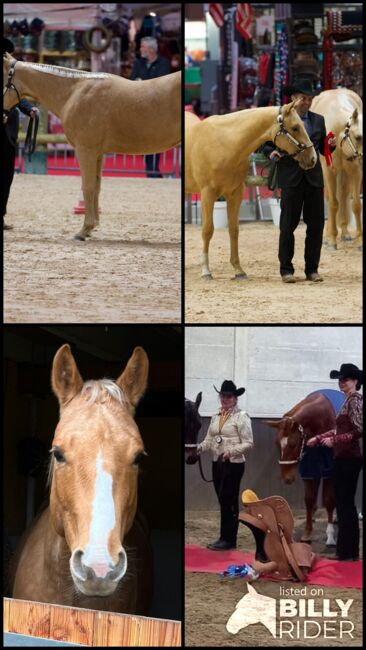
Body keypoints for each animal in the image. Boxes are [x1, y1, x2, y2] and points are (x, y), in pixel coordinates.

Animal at [2, 52, 180, 240]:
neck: (74, 92)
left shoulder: (85, 150)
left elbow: (87, 187)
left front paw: (83, 230)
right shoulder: (98, 153)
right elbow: (96, 187)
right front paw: (91, 227)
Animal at [184, 100, 316, 278]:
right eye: (295, 127)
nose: (313, 158)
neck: (224, 143)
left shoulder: (236, 193)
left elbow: (234, 230)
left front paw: (238, 270)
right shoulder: (207, 194)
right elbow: (207, 230)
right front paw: (206, 271)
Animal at [264, 390, 342, 548]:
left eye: (293, 444)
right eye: (276, 443)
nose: (287, 478)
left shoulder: (330, 469)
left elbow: (329, 500)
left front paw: (330, 536)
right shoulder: (308, 468)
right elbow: (309, 499)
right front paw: (307, 532)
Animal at [310, 87, 362, 247]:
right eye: (358, 137)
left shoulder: (356, 170)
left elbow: (356, 205)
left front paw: (360, 241)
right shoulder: (329, 171)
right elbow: (333, 203)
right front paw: (332, 240)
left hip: (345, 173)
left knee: (344, 196)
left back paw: (345, 233)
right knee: (330, 198)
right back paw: (327, 237)